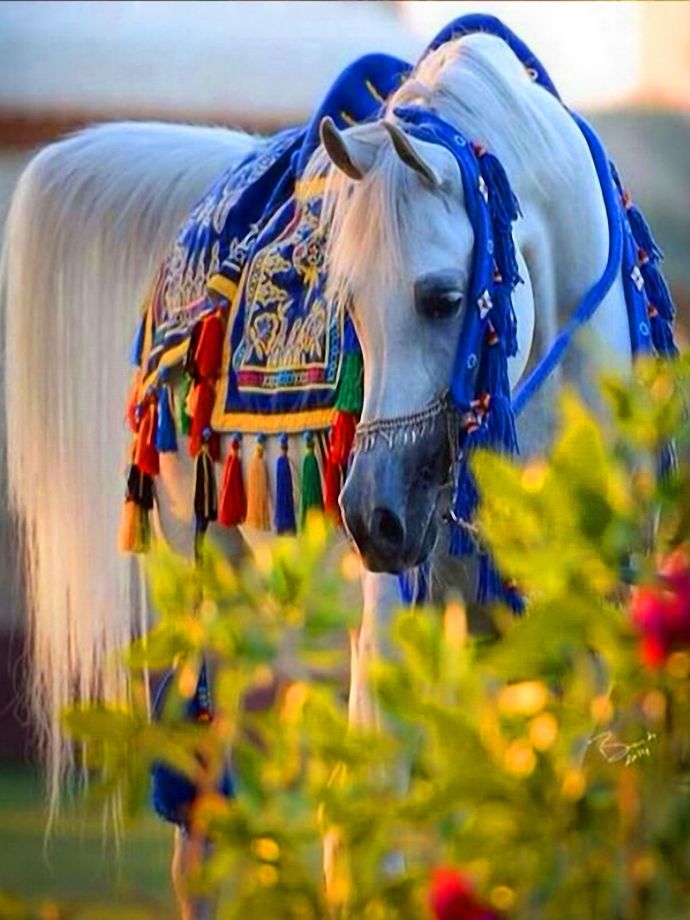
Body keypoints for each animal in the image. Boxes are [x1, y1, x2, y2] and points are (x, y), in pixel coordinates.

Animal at [2, 15, 674, 917]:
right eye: (345, 306)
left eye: (444, 298)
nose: (372, 520)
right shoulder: (396, 633)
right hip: (217, 609)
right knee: (205, 834)